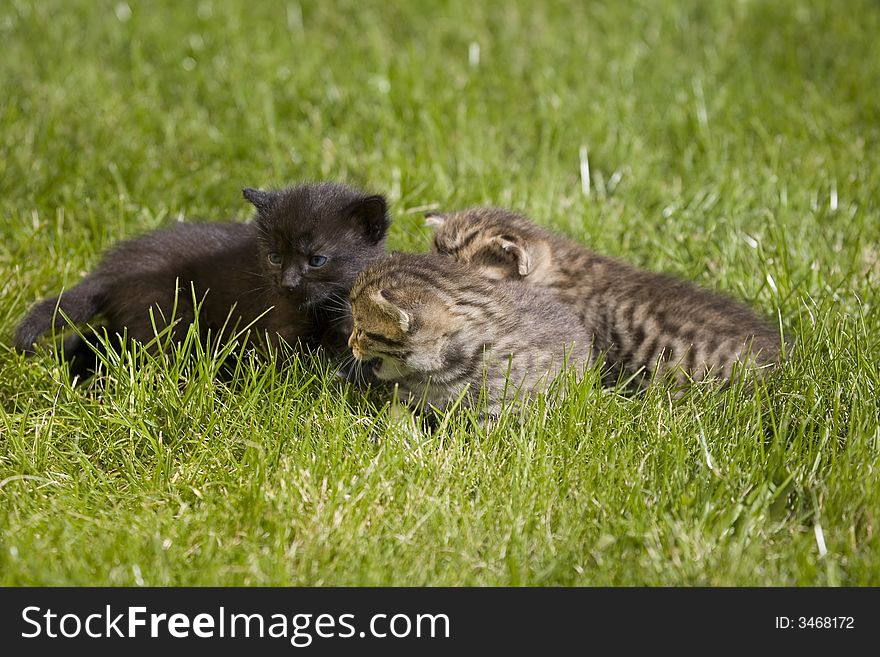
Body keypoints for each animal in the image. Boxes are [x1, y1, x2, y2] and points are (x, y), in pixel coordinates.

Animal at [14, 182, 388, 376]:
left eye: (317, 260)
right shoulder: (277, 328)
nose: (287, 283)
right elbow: (289, 366)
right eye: (275, 257)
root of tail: (109, 268)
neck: (326, 307)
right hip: (165, 315)